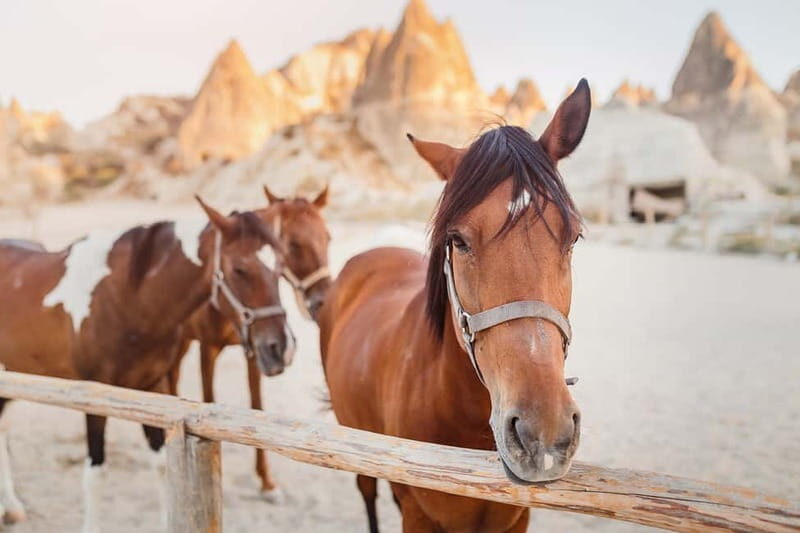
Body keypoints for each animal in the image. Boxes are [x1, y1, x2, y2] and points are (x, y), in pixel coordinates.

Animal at [0, 197, 292, 531]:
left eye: (280, 268)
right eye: (240, 269)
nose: (280, 348)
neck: (128, 298)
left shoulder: (153, 388)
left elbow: (162, 466)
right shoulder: (95, 396)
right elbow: (96, 475)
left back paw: (12, 507)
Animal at [167, 185, 331, 500]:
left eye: (328, 237)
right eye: (293, 245)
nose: (324, 300)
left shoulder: (258, 350)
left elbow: (257, 406)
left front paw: (266, 480)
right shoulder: (208, 348)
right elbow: (209, 400)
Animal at [318, 80, 591, 532]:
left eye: (573, 237)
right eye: (458, 240)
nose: (542, 434)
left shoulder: (516, 520)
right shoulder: (419, 515)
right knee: (368, 492)